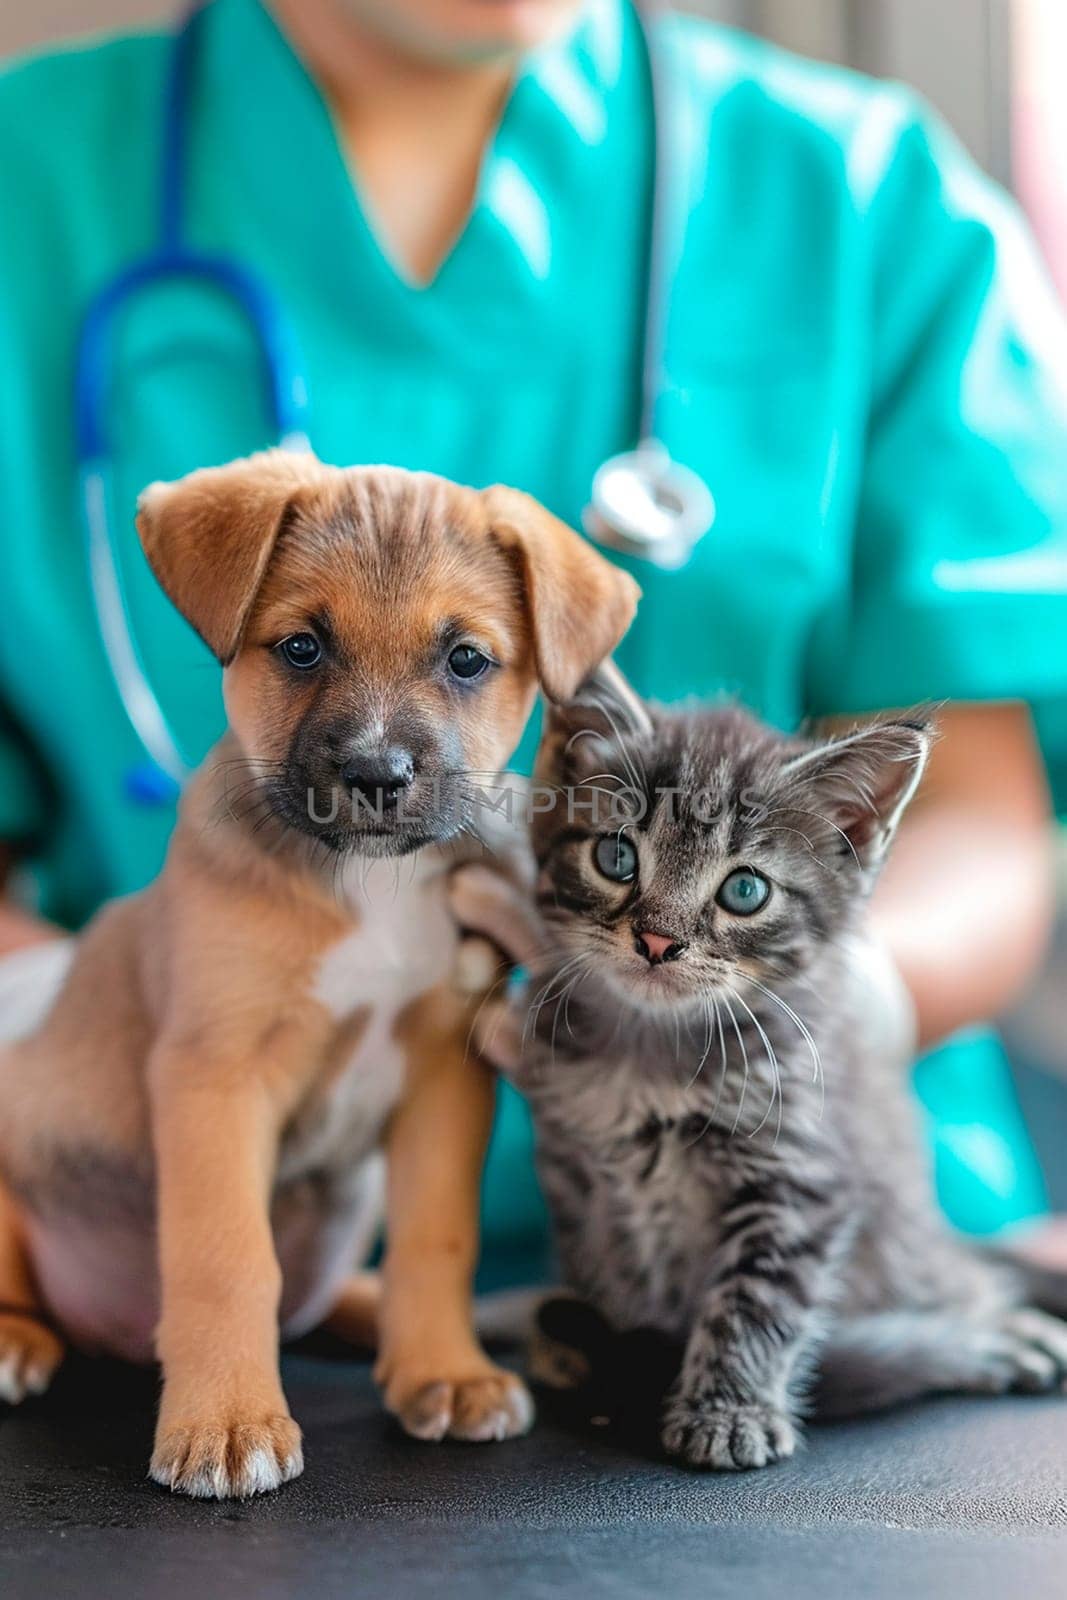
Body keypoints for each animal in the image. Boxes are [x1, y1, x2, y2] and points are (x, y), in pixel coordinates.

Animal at [0, 454, 639, 1497]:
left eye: (466, 660)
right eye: (301, 647)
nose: (377, 774)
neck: (368, 886)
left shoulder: (444, 1076)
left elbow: (436, 1239)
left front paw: (443, 1371)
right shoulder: (214, 1077)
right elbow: (227, 1260)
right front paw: (226, 1423)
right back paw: (17, 1341)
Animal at [454, 668, 1067, 1465]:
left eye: (744, 890)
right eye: (616, 858)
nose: (657, 941)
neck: (650, 1057)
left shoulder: (801, 1175)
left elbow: (758, 1303)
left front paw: (727, 1411)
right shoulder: (574, 1171)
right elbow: (601, 1267)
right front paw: (607, 1350)